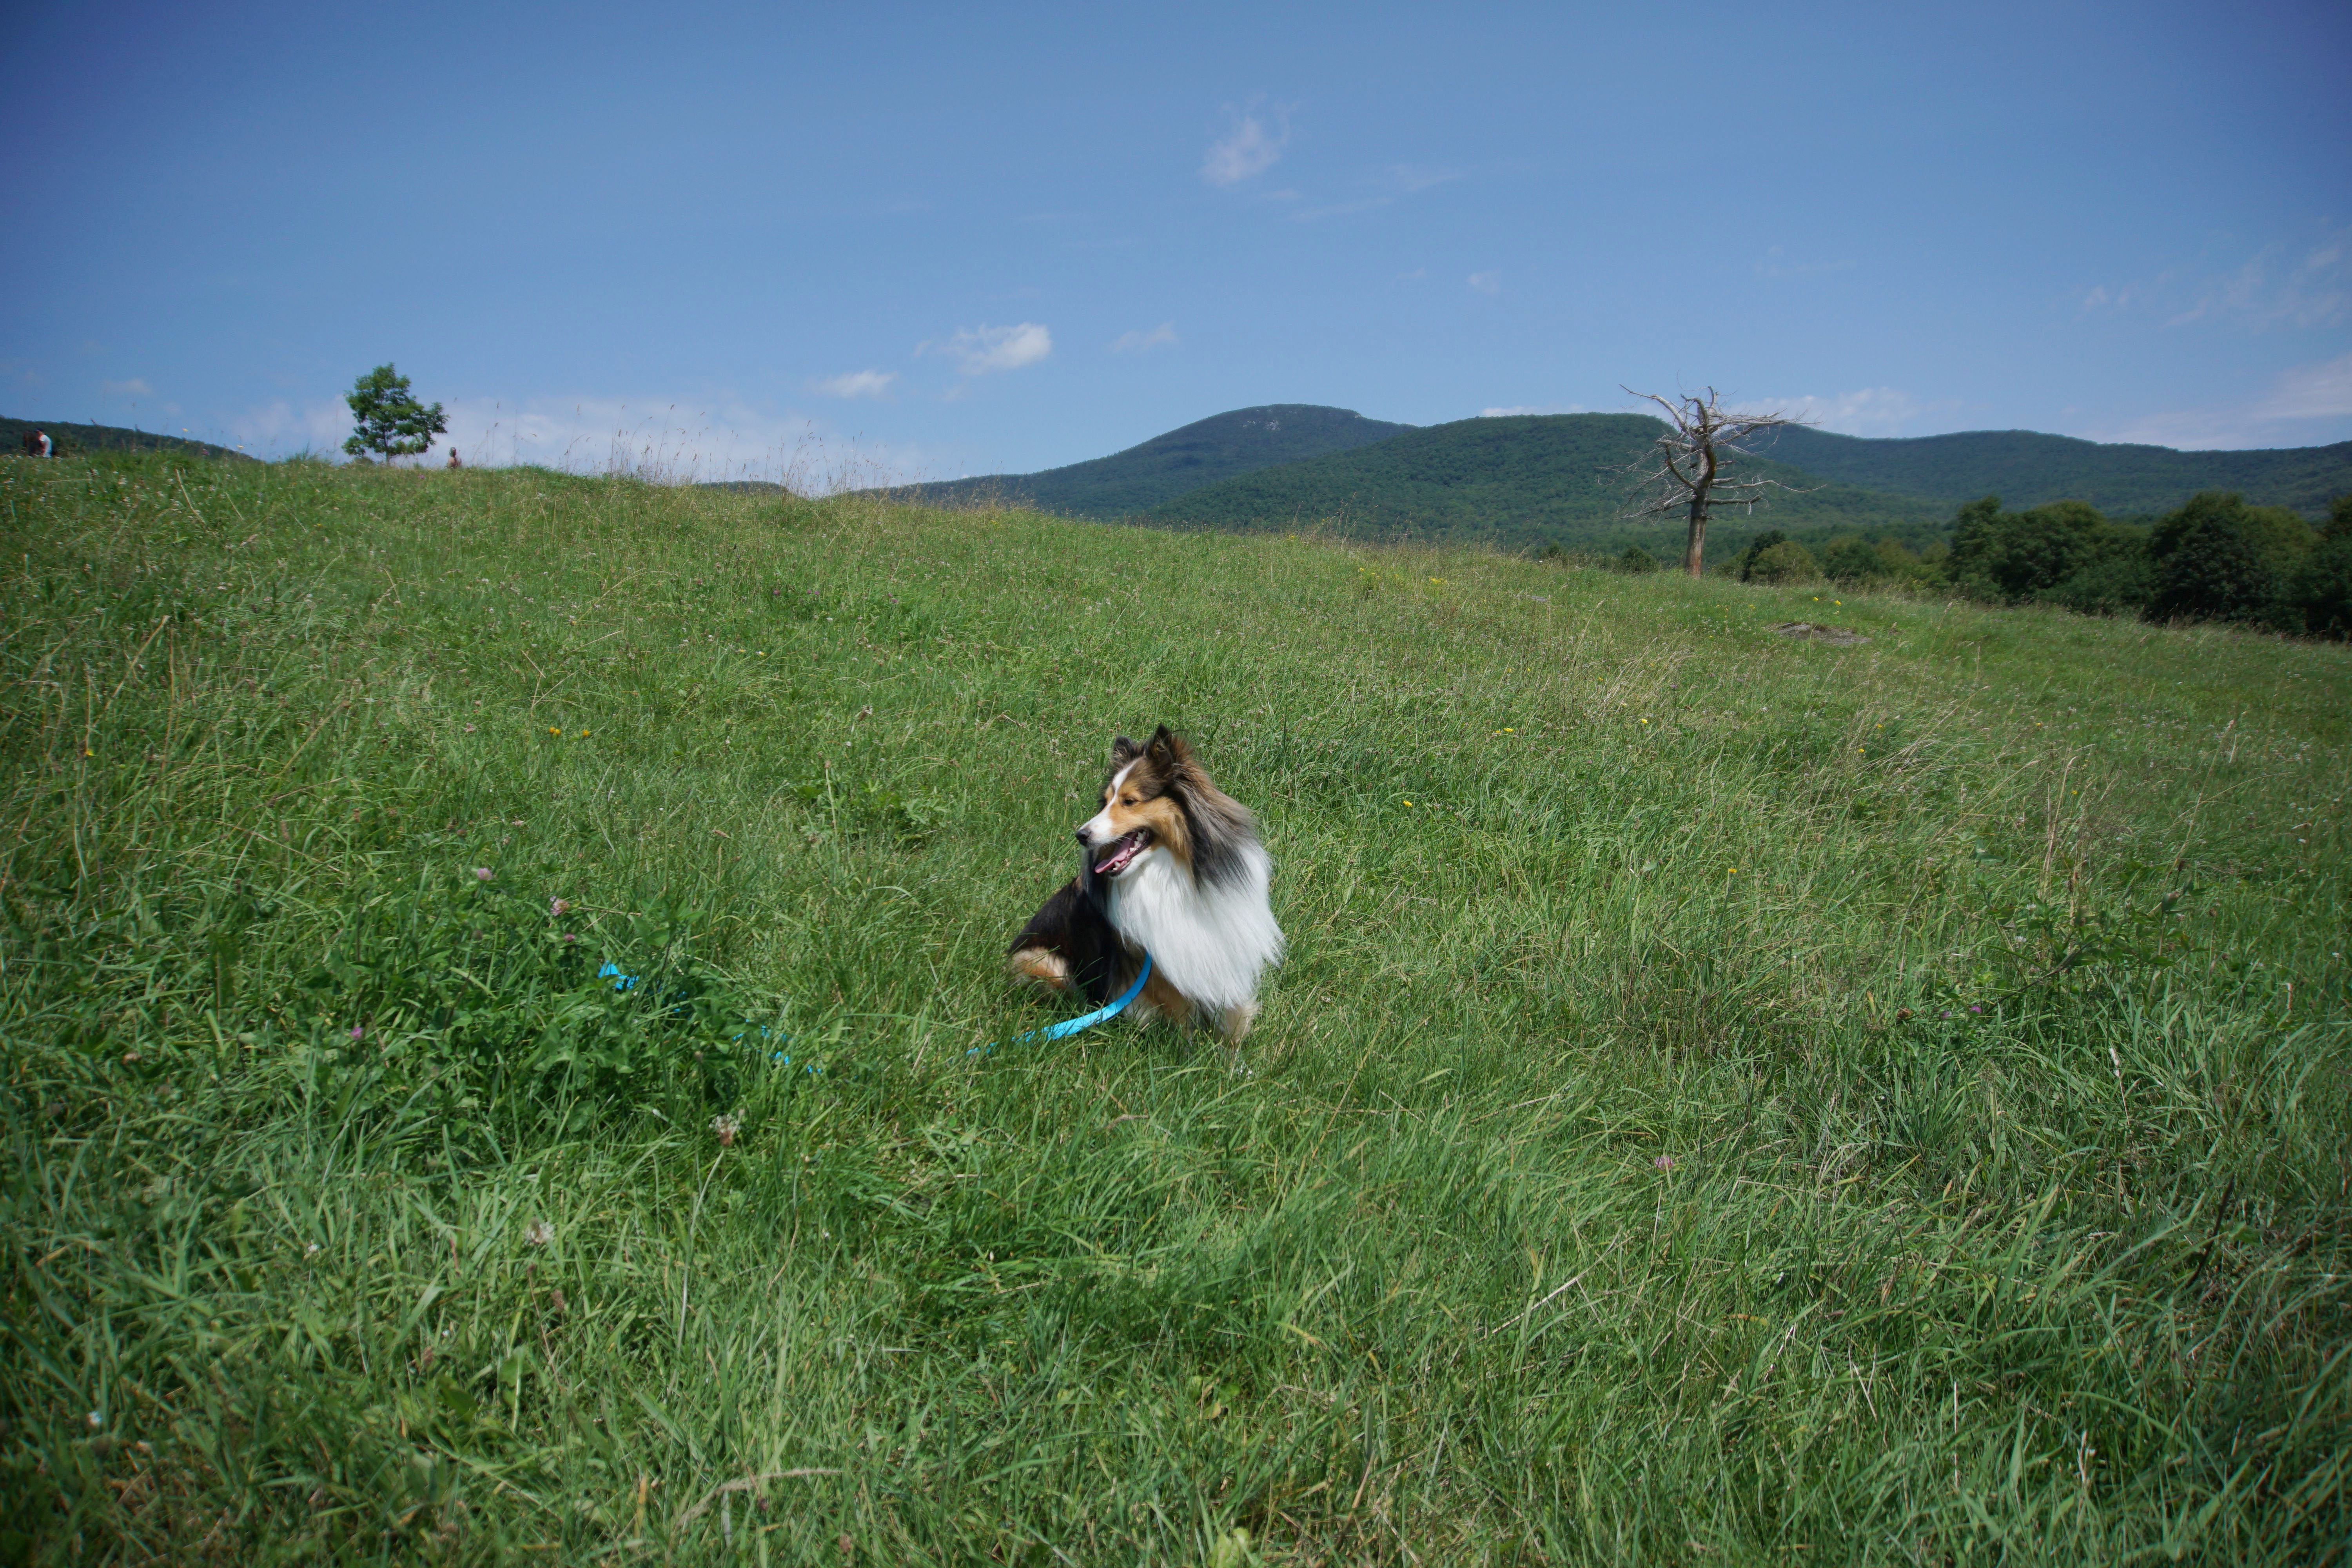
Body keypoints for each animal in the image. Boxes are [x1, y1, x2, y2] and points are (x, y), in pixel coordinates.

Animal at [1002, 729, 1279, 1044]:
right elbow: (1182, 1020)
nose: (1081, 835)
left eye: (1129, 801)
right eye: (1106, 801)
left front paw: (1234, 1054)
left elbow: (1231, 1018)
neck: (1172, 872)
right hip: (1043, 961)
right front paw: (1188, 1051)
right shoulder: (1158, 971)